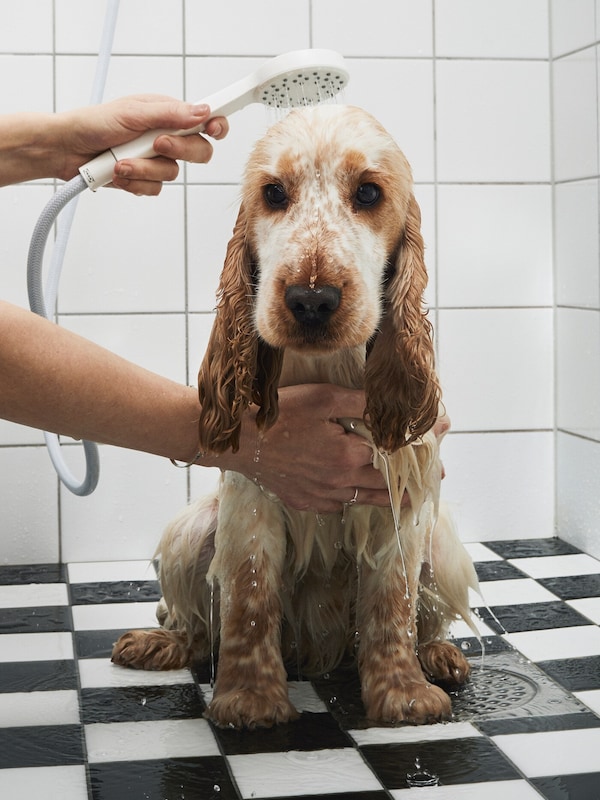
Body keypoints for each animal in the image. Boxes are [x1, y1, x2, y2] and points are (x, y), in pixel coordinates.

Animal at [111, 106, 478, 732]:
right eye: (274, 193)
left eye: (369, 192)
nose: (311, 300)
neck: (328, 366)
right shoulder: (257, 485)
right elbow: (251, 595)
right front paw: (250, 699)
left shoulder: (398, 490)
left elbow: (392, 601)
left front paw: (403, 694)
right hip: (190, 531)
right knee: (195, 623)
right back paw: (162, 643)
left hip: (442, 539)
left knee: (426, 612)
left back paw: (438, 655)